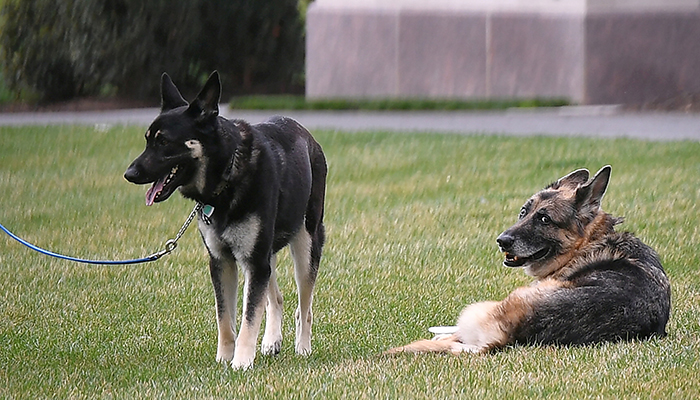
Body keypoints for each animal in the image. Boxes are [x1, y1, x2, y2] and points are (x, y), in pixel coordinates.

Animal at [124, 71, 326, 368]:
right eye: (147, 140)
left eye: (164, 142)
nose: (129, 174)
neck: (228, 173)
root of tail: (306, 134)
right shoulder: (223, 262)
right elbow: (225, 318)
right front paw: (224, 359)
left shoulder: (253, 261)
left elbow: (248, 317)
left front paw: (241, 362)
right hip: (266, 254)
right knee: (276, 298)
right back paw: (272, 341)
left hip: (305, 244)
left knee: (305, 307)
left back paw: (303, 347)